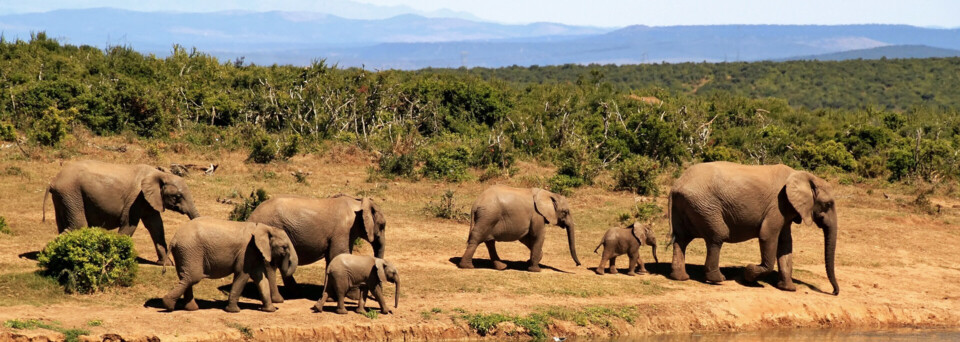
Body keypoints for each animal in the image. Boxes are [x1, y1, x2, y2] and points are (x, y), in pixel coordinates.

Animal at [43, 160, 201, 264]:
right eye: (177, 196)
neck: (159, 174)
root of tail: (53, 181)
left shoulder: (149, 201)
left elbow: (156, 227)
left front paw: (166, 264)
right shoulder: (136, 199)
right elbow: (129, 225)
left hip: (64, 197)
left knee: (65, 225)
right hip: (71, 193)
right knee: (78, 225)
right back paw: (48, 252)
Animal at [161, 218, 298, 312]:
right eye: (284, 247)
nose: (279, 306)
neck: (264, 228)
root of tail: (174, 239)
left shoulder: (254, 253)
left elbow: (260, 278)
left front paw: (270, 310)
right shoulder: (246, 251)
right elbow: (242, 275)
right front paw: (234, 311)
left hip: (184, 253)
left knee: (186, 277)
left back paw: (191, 308)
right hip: (191, 251)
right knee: (192, 277)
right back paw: (168, 305)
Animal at [248, 194, 386, 304]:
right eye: (383, 225)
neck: (358, 202)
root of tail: (251, 216)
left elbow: (331, 258)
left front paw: (331, 298)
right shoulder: (343, 230)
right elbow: (339, 254)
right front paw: (353, 297)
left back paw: (296, 293)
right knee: (270, 264)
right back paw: (279, 299)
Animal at [668, 162, 840, 296]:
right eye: (828, 204)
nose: (834, 292)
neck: (805, 176)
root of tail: (676, 185)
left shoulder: (786, 209)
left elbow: (785, 244)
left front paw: (788, 289)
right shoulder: (778, 205)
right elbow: (767, 235)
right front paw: (748, 274)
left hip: (687, 206)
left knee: (681, 239)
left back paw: (681, 277)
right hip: (705, 206)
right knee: (717, 236)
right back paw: (718, 279)